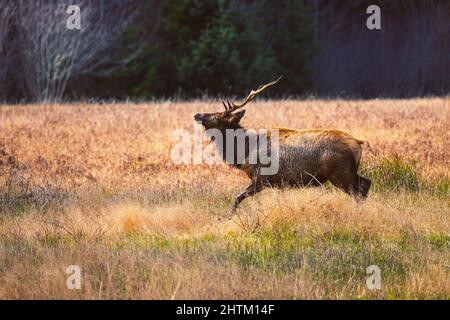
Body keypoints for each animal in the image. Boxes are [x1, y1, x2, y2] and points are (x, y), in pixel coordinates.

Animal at [194, 75, 372, 210]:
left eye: (216, 116)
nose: (197, 114)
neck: (244, 152)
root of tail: (358, 143)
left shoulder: (261, 178)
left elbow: (237, 198)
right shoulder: (278, 183)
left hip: (340, 173)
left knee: (359, 192)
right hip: (349, 172)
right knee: (366, 183)